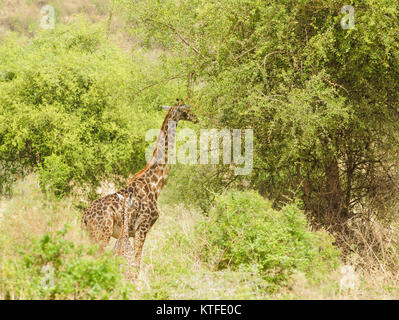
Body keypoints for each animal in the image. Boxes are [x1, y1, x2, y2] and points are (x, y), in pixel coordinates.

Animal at [82, 99, 198, 278]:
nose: (196, 118)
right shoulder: (142, 227)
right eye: (186, 110)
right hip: (101, 235)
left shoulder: (134, 232)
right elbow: (137, 263)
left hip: (92, 236)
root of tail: (85, 216)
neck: (155, 184)